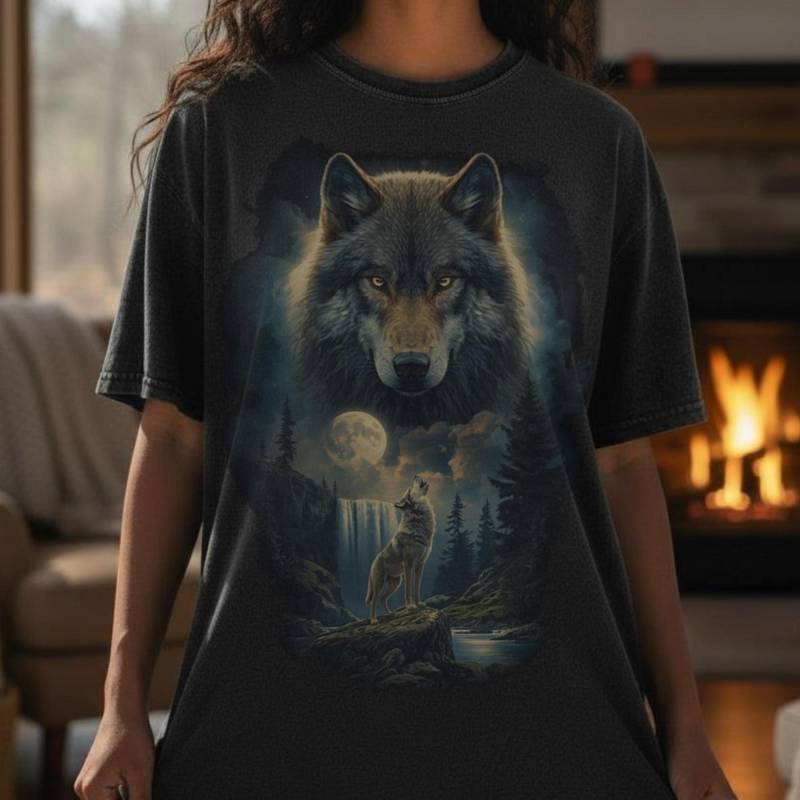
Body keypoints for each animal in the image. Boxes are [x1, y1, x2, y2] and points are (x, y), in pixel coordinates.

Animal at [365, 475, 436, 624]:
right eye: (409, 490)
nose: (415, 475)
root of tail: (373, 562)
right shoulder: (409, 564)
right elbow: (409, 590)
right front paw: (410, 606)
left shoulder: (420, 565)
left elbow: (417, 588)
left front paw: (419, 604)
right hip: (380, 584)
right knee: (374, 601)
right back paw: (373, 620)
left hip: (395, 583)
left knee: (383, 599)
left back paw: (390, 613)